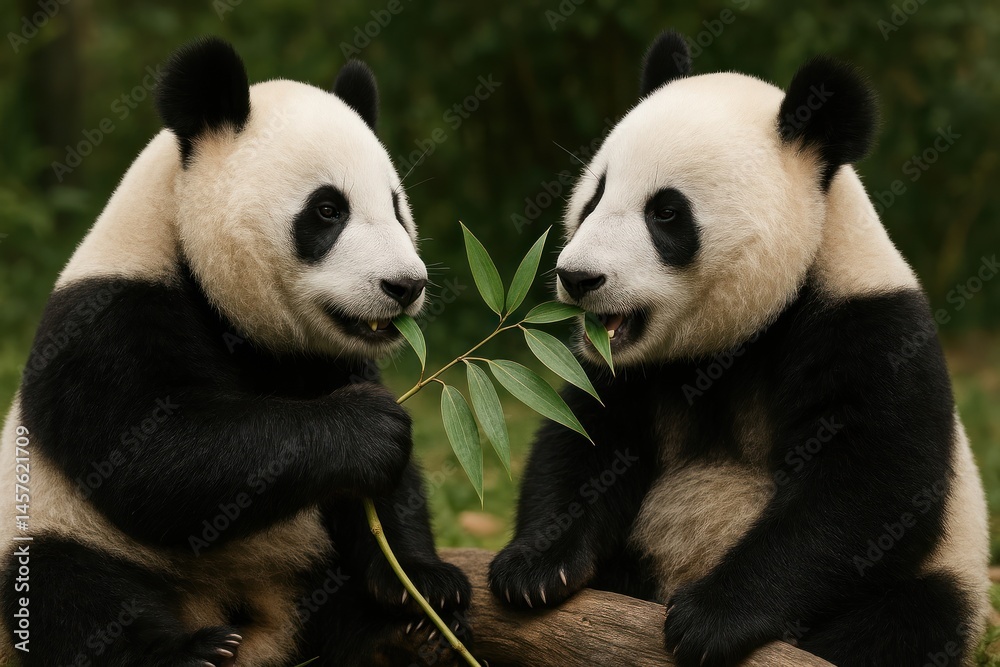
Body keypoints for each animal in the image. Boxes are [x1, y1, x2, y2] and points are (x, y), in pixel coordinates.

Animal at [0, 38, 471, 667]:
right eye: (328, 210)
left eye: (396, 206)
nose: (404, 285)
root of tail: (264, 625)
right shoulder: (105, 323)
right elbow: (158, 459)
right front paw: (369, 425)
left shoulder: (321, 357)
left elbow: (380, 496)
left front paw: (423, 587)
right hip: (53, 526)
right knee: (68, 592)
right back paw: (191, 652)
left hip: (303, 557)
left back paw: (406, 639)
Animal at [488, 30, 990, 667]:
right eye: (595, 197)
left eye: (666, 212)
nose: (578, 277)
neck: (736, 338)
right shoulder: (619, 372)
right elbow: (584, 441)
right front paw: (533, 569)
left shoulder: (868, 327)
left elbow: (867, 485)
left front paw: (712, 618)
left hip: (950, 570)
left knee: (911, 619)